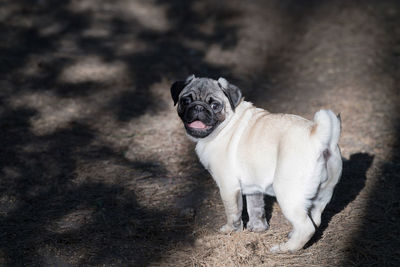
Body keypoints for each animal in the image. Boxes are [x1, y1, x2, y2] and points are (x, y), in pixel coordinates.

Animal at [170, 75, 342, 253]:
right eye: (185, 101)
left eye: (214, 105)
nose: (198, 107)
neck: (226, 124)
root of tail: (318, 137)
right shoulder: (253, 185)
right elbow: (255, 208)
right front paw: (257, 228)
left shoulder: (228, 187)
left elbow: (233, 212)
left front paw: (231, 230)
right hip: (322, 194)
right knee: (315, 218)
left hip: (288, 194)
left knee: (306, 228)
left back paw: (286, 248)